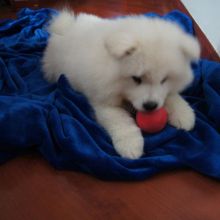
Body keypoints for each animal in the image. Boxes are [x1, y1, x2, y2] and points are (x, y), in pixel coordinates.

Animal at [42, 10, 200, 159]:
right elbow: (121, 121)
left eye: (164, 80)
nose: (151, 106)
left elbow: (171, 96)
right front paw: (130, 145)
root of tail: (66, 28)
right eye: (136, 79)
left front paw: (184, 114)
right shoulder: (104, 101)